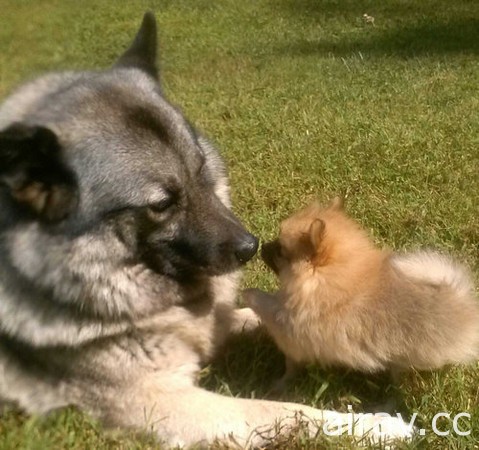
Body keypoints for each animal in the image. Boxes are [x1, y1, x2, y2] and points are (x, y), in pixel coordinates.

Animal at [0, 12, 412, 448]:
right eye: (161, 204)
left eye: (200, 170)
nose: (251, 247)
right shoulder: (165, 403)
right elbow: (287, 411)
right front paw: (376, 425)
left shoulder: (215, 324)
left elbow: (260, 315)